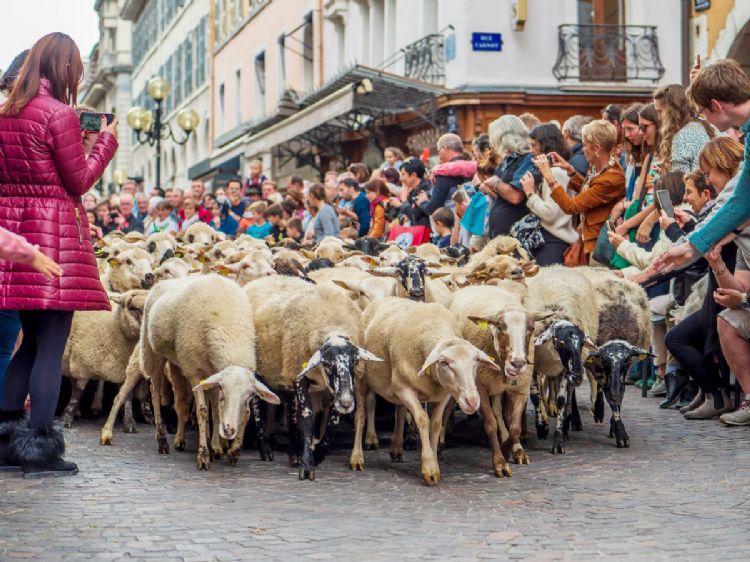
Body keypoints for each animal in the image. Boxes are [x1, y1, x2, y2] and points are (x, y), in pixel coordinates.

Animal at [63, 288, 150, 428]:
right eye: (132, 308)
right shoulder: (81, 364)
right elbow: (78, 392)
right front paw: (67, 417)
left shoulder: (124, 369)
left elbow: (127, 395)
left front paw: (129, 421)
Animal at [140, 272, 280, 468]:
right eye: (225, 397)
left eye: (247, 398)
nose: (229, 430)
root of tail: (163, 282)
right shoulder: (195, 372)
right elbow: (203, 411)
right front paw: (204, 455)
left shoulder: (214, 375)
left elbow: (223, 411)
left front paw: (226, 450)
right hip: (152, 351)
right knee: (155, 391)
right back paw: (162, 440)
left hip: (179, 362)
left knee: (181, 401)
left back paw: (183, 439)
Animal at [354, 296, 506, 484]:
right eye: (444, 362)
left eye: (475, 362)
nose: (472, 401)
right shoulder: (404, 389)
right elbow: (422, 419)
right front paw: (429, 468)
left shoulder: (445, 393)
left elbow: (435, 424)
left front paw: (434, 461)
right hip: (361, 377)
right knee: (361, 414)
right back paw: (357, 458)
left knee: (400, 411)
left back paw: (396, 448)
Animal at [450, 284, 556, 472]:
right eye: (500, 327)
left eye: (531, 328)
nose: (518, 363)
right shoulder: (480, 388)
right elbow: (491, 424)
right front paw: (500, 462)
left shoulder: (520, 389)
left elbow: (514, 427)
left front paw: (511, 450)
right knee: (496, 415)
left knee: (501, 413)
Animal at [524, 264, 604, 452]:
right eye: (560, 343)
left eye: (581, 344)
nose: (578, 376)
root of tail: (558, 266)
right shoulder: (535, 366)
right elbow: (535, 396)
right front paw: (542, 428)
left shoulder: (564, 369)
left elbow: (562, 400)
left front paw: (559, 439)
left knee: (570, 395)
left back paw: (571, 421)